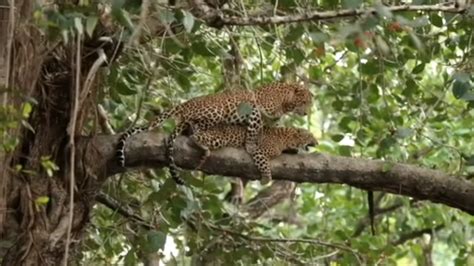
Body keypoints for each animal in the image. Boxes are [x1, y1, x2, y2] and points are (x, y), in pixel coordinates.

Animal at [190, 124, 318, 185]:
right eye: (311, 136)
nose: (317, 142)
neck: (289, 139)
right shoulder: (259, 151)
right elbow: (266, 166)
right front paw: (266, 179)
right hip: (218, 138)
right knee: (193, 137)